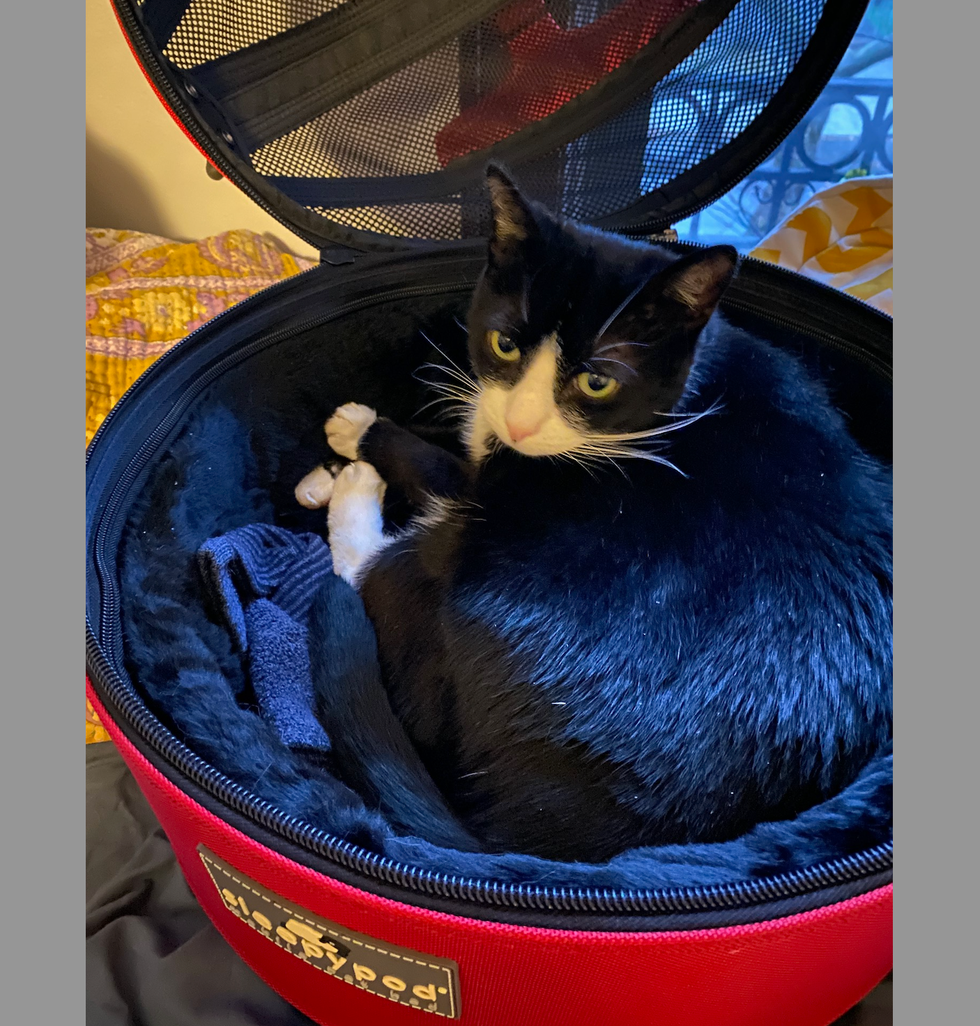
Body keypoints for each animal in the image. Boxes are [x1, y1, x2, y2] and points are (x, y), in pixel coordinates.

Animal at [295, 168, 894, 865]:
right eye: (504, 343)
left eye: (597, 383)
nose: (521, 424)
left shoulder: (500, 481)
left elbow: (442, 467)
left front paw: (360, 432)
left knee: (371, 581)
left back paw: (354, 492)